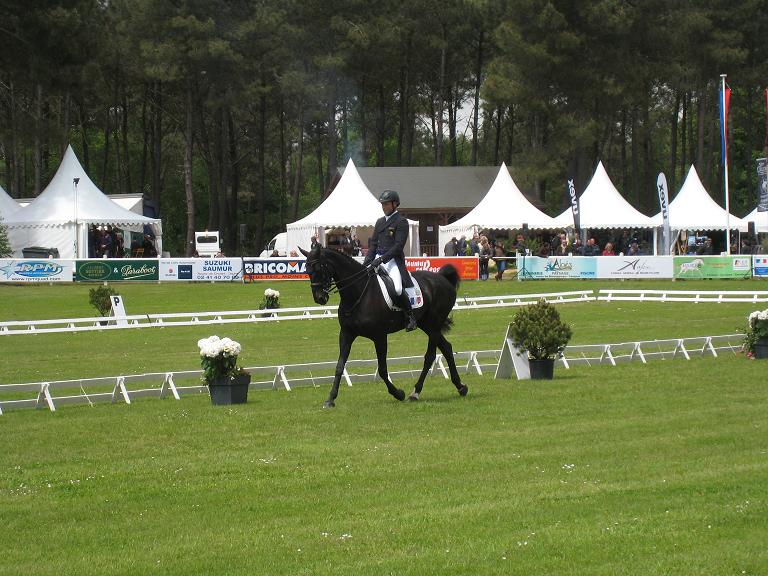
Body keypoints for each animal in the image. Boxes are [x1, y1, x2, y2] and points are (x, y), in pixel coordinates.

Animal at [300, 245, 468, 408]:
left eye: (319, 268)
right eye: (307, 271)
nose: (320, 298)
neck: (358, 292)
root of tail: (442, 278)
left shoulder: (379, 336)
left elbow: (382, 369)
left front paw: (398, 393)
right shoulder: (346, 334)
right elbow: (340, 366)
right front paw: (330, 399)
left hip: (433, 325)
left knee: (430, 356)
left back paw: (415, 393)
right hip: (426, 324)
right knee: (447, 348)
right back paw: (460, 387)